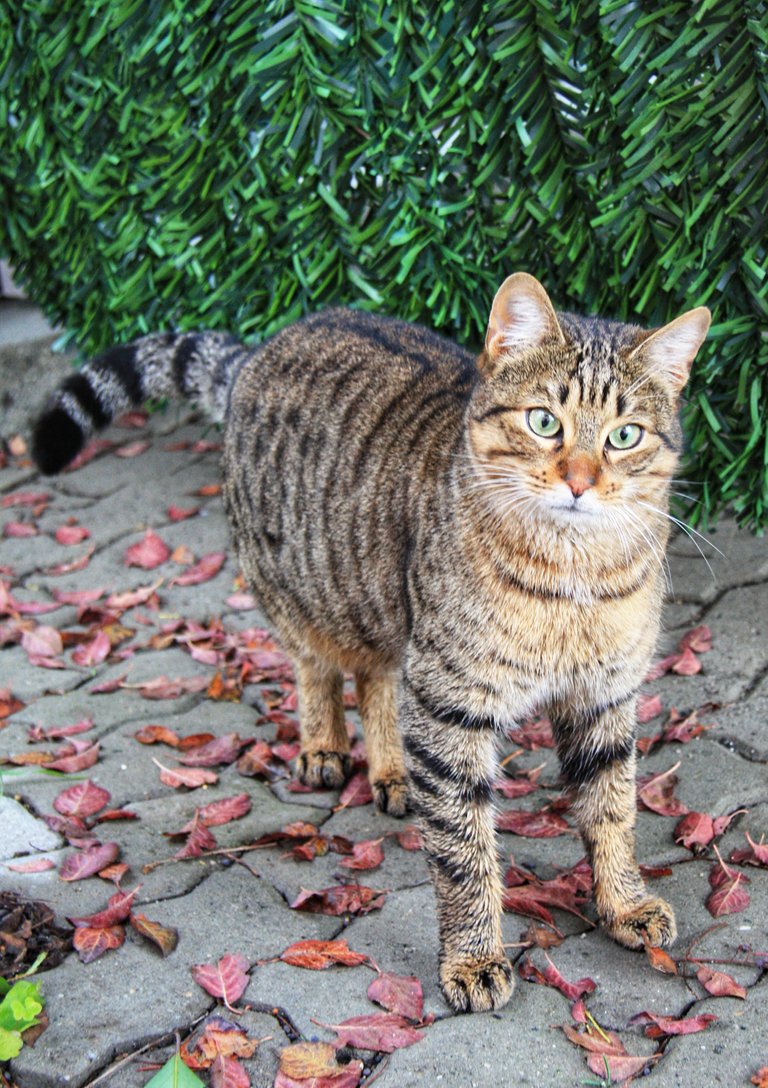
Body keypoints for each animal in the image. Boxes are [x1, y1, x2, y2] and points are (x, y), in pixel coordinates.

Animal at [32, 272, 709, 1009]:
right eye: (543, 421)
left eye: (625, 435)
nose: (581, 482)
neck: (575, 576)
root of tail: (272, 340)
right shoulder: (450, 701)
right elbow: (464, 849)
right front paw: (473, 956)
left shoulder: (603, 697)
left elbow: (612, 811)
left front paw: (624, 903)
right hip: (304, 590)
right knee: (318, 668)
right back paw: (324, 746)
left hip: (384, 610)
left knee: (376, 679)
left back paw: (390, 772)